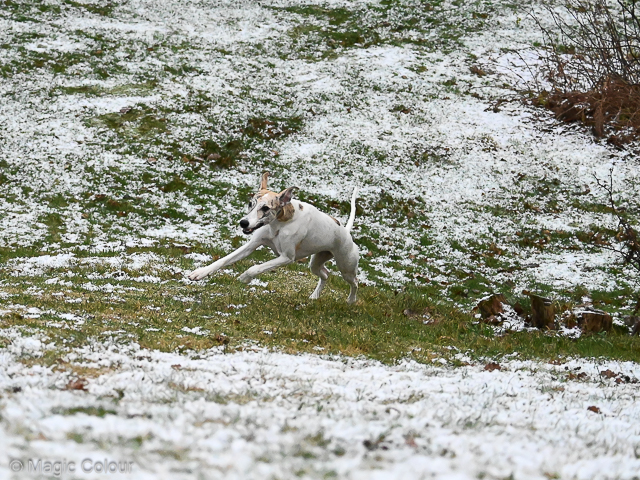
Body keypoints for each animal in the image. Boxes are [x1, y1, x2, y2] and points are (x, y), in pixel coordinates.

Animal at [189, 173, 360, 304]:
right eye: (250, 203)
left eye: (265, 208)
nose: (243, 223)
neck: (280, 223)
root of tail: (346, 231)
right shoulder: (252, 245)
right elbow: (223, 260)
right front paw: (200, 273)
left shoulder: (286, 258)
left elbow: (256, 267)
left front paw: (244, 278)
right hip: (316, 261)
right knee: (325, 274)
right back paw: (314, 296)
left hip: (346, 266)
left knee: (355, 282)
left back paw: (351, 301)